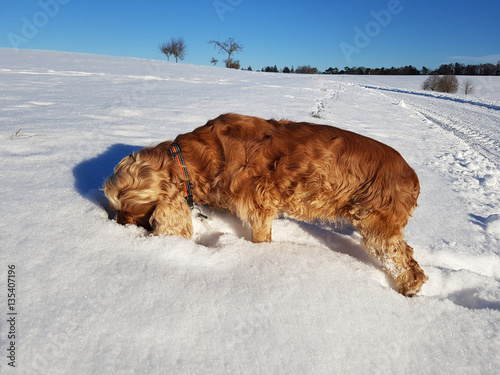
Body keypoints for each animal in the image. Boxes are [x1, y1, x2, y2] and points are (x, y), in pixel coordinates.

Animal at [103, 113, 428, 296]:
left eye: (134, 213)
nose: (113, 224)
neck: (203, 157)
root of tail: (412, 175)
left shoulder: (259, 207)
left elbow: (260, 238)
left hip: (376, 225)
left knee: (408, 264)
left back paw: (409, 290)